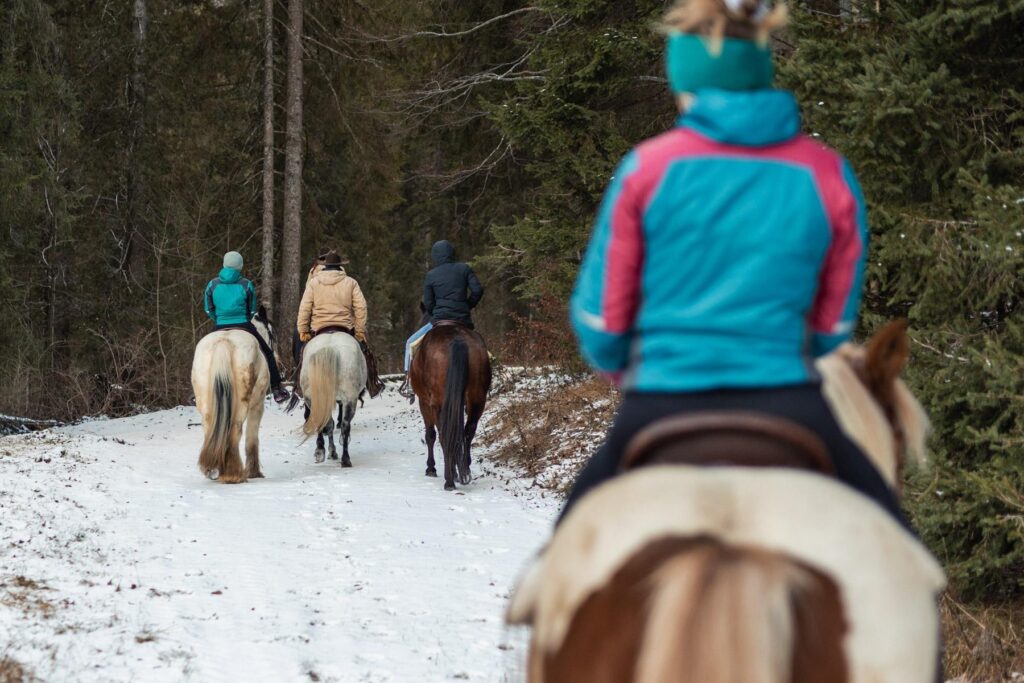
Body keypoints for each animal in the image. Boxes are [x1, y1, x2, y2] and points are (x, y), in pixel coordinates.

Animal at [191, 313, 276, 483]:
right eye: (271, 333)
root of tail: (223, 342)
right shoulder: (258, 404)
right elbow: (252, 438)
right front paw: (254, 472)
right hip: (242, 403)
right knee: (235, 431)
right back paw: (233, 473)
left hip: (205, 401)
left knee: (209, 427)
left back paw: (212, 469)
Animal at [299, 331, 368, 471]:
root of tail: (330, 346)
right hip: (350, 398)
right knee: (345, 426)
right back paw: (344, 458)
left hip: (312, 398)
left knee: (323, 422)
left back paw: (321, 452)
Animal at [409, 321, 489, 491]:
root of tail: (457, 338)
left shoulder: (424, 402)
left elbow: (430, 435)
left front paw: (431, 468)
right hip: (477, 398)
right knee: (468, 431)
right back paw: (464, 470)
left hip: (439, 404)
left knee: (444, 436)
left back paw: (449, 480)